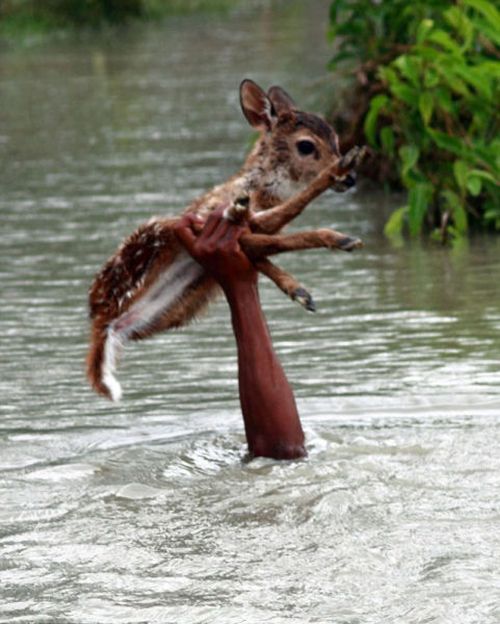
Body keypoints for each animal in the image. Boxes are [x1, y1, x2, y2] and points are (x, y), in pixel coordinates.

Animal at [88, 79, 366, 400]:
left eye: (335, 137)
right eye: (306, 145)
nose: (350, 179)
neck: (260, 191)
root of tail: (102, 320)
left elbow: (267, 248)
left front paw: (299, 291)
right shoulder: (215, 220)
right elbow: (275, 231)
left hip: (180, 305)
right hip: (155, 235)